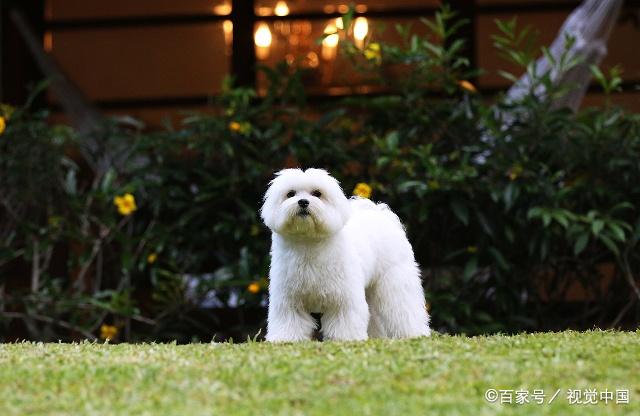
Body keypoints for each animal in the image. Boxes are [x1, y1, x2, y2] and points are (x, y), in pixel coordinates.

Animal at [260, 167, 430, 342]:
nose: (303, 202)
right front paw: (286, 339)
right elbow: (289, 319)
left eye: (317, 193)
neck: (308, 242)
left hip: (394, 281)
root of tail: (381, 214)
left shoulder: (344, 297)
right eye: (290, 194)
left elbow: (345, 318)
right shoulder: (288, 299)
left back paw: (414, 333)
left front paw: (346, 338)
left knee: (403, 306)